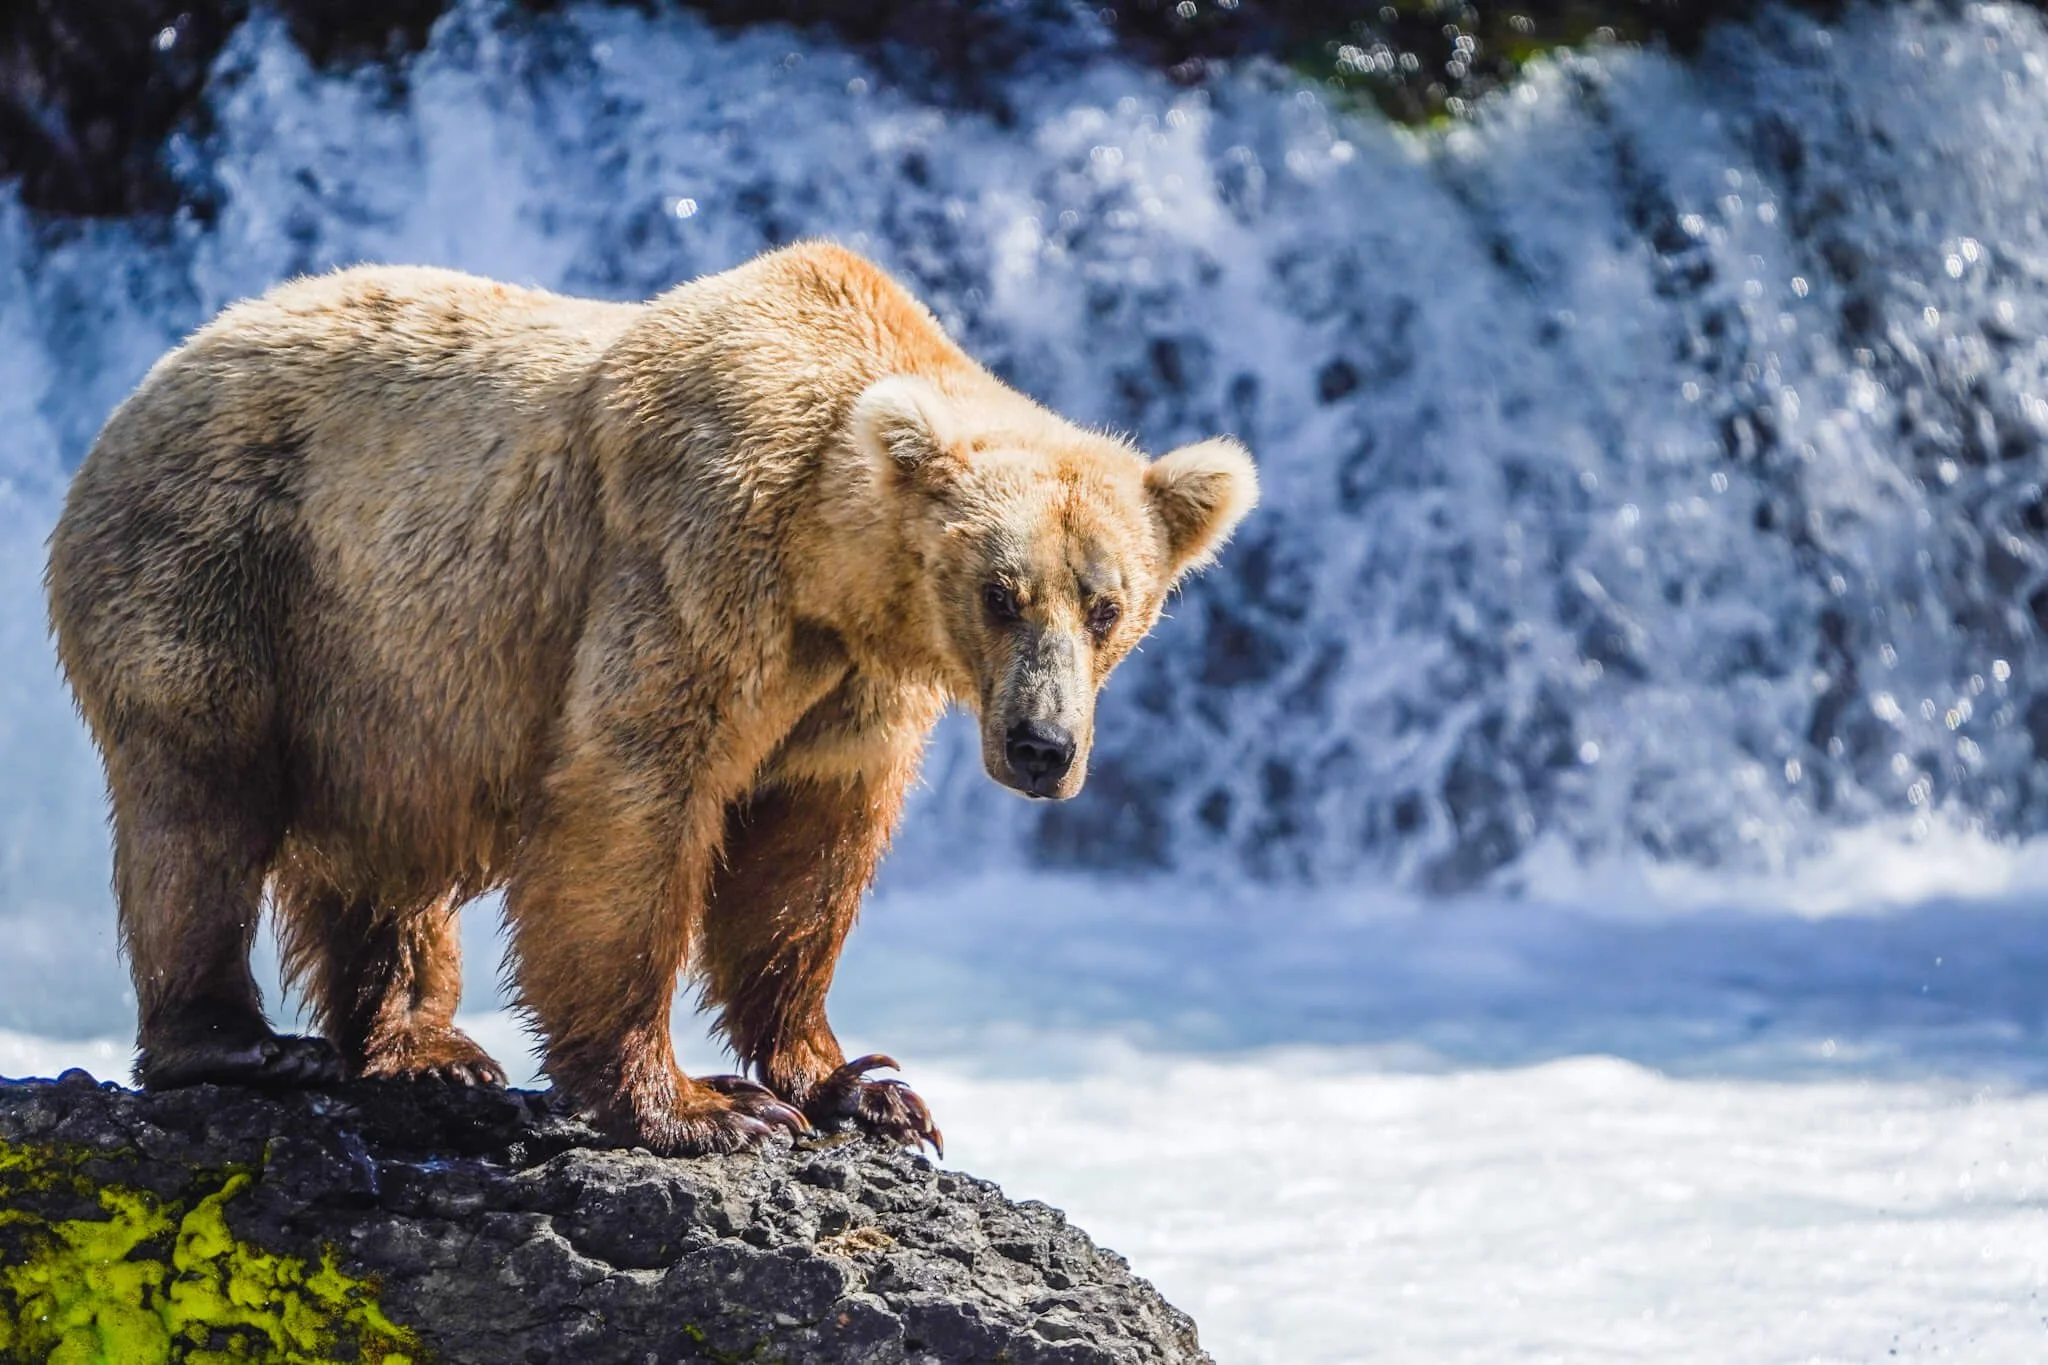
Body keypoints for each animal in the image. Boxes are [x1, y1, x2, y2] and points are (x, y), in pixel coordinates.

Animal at [45, 241, 1259, 1155]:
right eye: (1000, 593)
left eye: (1106, 605)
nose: (1043, 744)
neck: (831, 565)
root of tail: (160, 370)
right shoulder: (697, 561)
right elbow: (633, 805)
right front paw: (702, 1106)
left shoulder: (849, 690)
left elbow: (806, 857)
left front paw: (864, 1084)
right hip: (231, 568)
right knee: (199, 801)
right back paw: (238, 1040)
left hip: (383, 681)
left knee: (375, 852)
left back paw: (426, 1050)